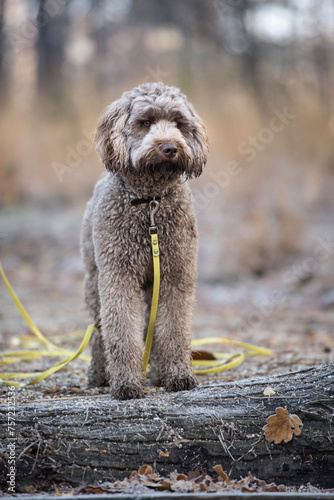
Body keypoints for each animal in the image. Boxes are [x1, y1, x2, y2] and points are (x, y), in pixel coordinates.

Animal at [80, 83, 207, 402]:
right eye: (145, 122)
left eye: (178, 123)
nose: (170, 147)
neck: (150, 202)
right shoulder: (119, 276)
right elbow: (121, 331)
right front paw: (126, 383)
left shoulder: (176, 276)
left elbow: (174, 329)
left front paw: (179, 376)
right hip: (94, 282)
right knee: (99, 332)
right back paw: (100, 373)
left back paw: (158, 370)